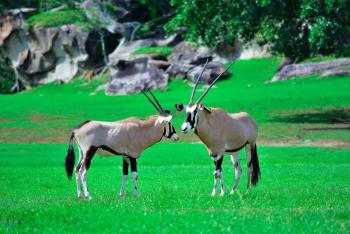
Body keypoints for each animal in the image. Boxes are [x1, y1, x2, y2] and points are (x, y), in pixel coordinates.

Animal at [175, 61, 260, 197]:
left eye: (195, 111)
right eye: (186, 111)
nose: (184, 127)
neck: (211, 125)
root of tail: (250, 119)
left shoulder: (220, 153)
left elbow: (217, 172)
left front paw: (216, 193)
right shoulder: (213, 154)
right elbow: (218, 172)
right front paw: (221, 191)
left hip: (249, 145)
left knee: (249, 166)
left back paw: (247, 191)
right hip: (235, 152)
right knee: (238, 169)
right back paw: (232, 191)